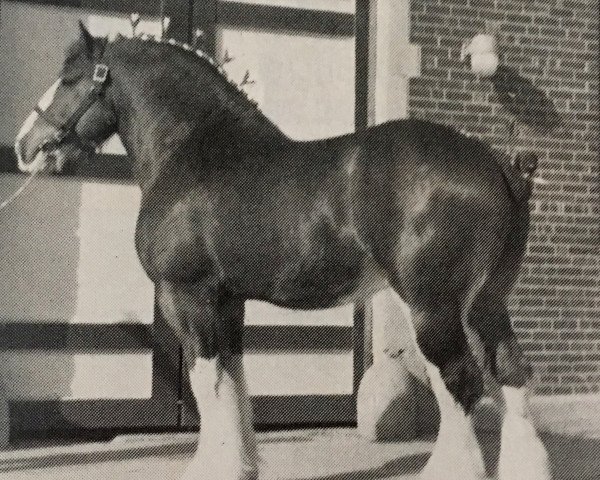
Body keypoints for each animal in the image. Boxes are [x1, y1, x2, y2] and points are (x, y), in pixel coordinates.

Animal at [14, 24, 552, 480]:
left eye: (69, 78)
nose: (24, 145)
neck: (192, 149)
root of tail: (496, 163)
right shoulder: (227, 300)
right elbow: (233, 378)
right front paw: (241, 465)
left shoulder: (186, 296)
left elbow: (206, 381)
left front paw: (212, 467)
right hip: (487, 303)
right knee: (510, 374)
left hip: (431, 306)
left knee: (462, 381)